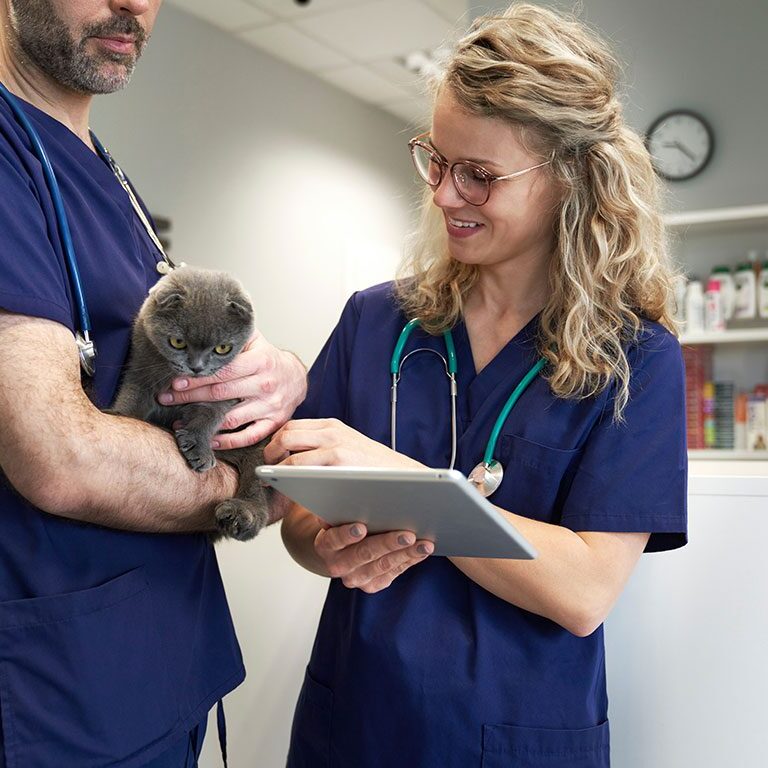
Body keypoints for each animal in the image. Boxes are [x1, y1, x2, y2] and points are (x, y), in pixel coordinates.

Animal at [111, 268, 272, 544]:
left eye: (222, 348)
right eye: (177, 342)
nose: (197, 367)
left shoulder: (223, 391)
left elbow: (209, 416)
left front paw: (198, 447)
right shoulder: (140, 369)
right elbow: (131, 397)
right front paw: (116, 414)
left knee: (256, 487)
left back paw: (241, 515)